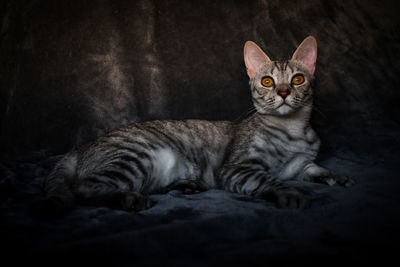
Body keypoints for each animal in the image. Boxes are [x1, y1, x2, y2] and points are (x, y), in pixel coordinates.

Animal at [31, 35, 354, 219]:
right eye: (267, 81)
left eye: (298, 79)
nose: (284, 92)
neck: (293, 131)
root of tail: (82, 146)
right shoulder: (238, 168)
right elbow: (271, 180)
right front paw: (291, 194)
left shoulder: (301, 164)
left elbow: (314, 169)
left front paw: (336, 177)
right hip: (137, 156)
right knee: (85, 188)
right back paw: (130, 199)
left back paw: (187, 185)